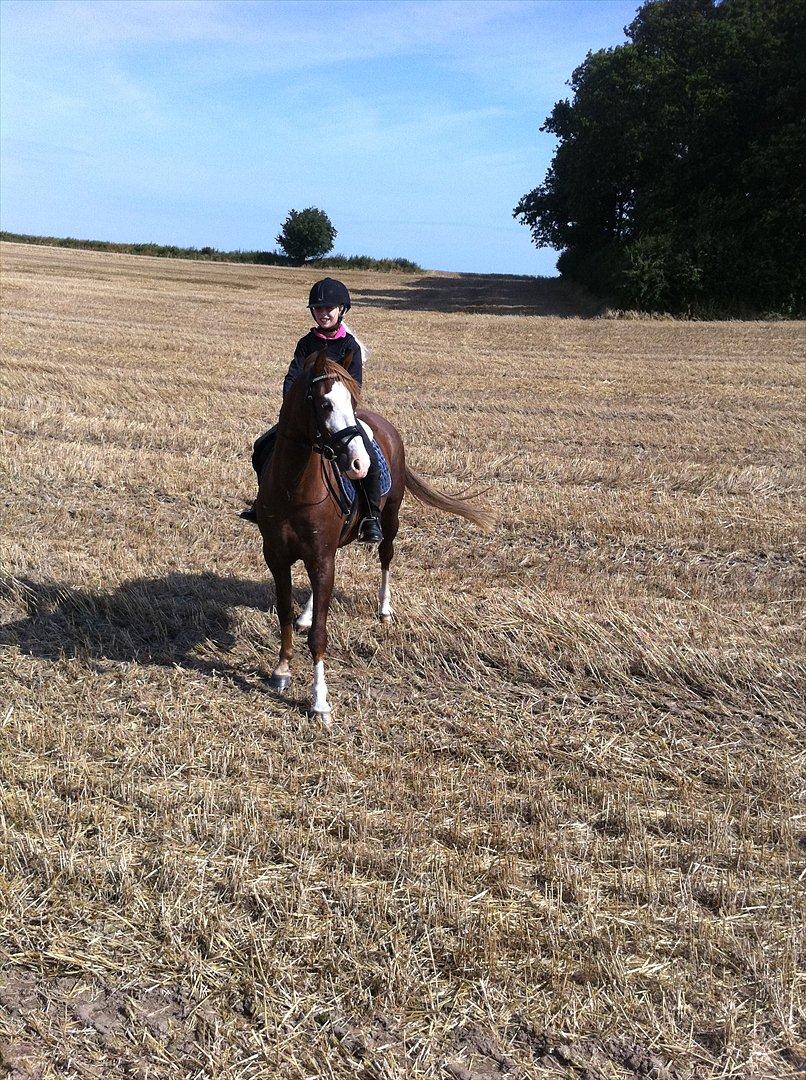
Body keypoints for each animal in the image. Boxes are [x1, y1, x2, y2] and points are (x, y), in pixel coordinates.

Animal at [253, 349, 490, 721]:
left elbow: (319, 635)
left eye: (351, 400)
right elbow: (284, 614)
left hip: (390, 519)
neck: (294, 487)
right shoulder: (277, 556)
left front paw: (320, 702)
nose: (359, 464)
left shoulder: (321, 556)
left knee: (386, 558)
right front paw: (282, 670)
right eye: (324, 404)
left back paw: (384, 608)